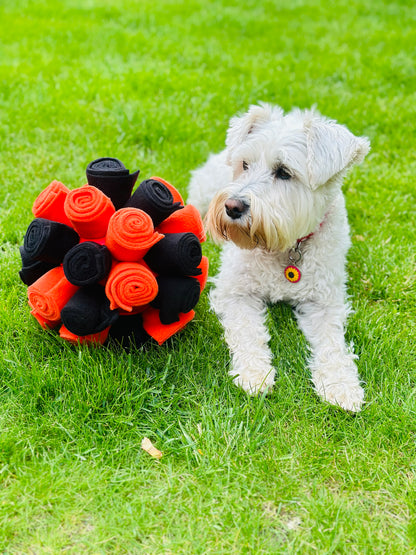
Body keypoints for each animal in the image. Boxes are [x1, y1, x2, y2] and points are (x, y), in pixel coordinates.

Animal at [187, 103, 368, 412]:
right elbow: (248, 332)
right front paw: (254, 374)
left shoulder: (325, 302)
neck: (286, 247)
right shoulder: (235, 293)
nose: (232, 206)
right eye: (245, 165)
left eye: (284, 172)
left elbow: (332, 345)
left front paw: (341, 385)